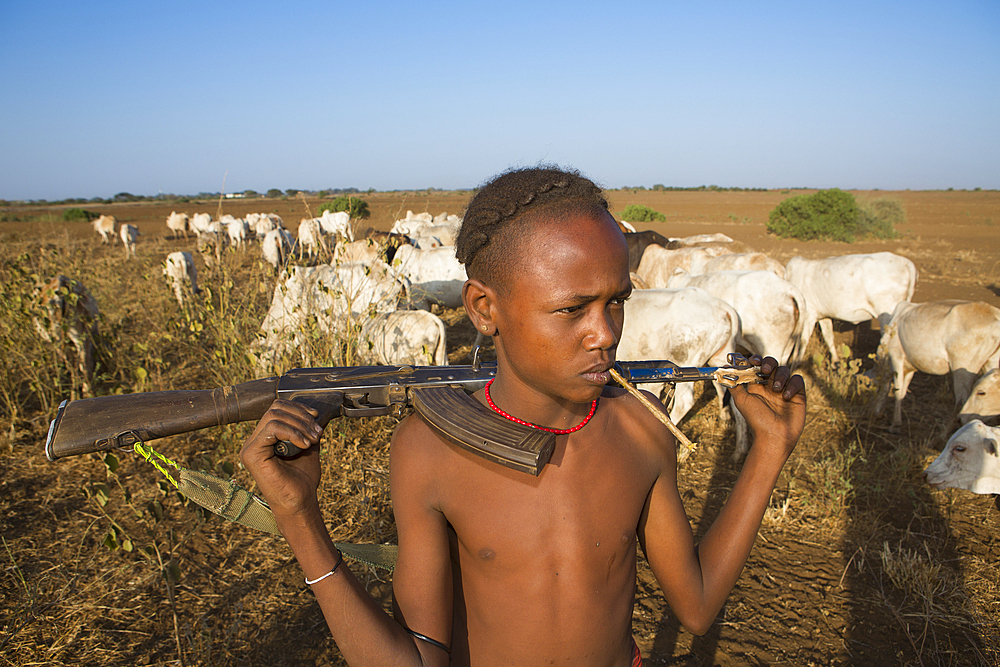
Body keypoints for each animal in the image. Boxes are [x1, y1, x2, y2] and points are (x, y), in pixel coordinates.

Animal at [784, 252, 916, 366]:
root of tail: (905, 262)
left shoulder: (809, 314)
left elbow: (802, 341)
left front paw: (795, 365)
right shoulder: (823, 315)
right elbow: (828, 336)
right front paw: (835, 362)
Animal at [876, 300, 1000, 430]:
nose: (876, 413)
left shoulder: (896, 358)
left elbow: (897, 391)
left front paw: (895, 424)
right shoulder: (909, 368)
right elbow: (903, 390)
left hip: (962, 369)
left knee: (961, 400)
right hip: (990, 364)